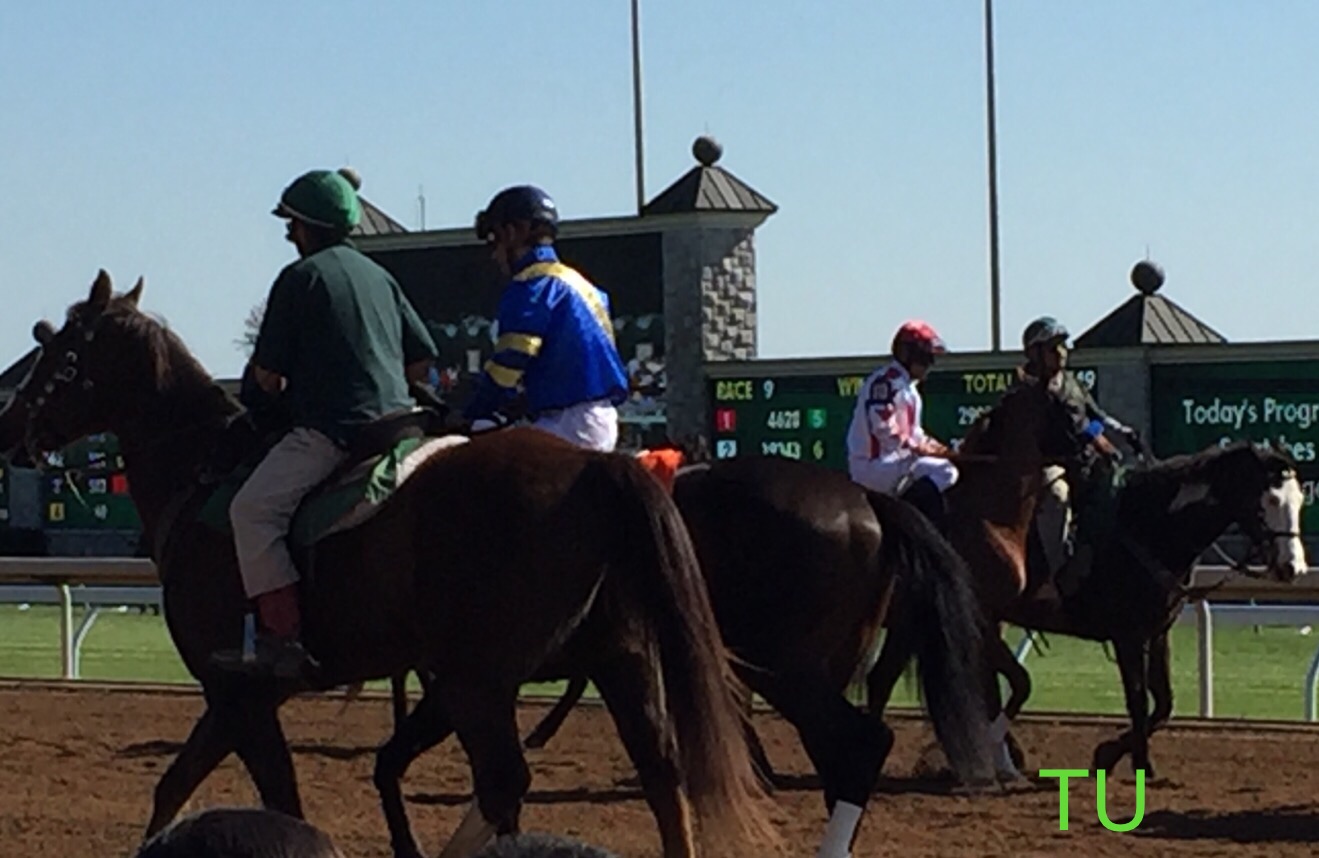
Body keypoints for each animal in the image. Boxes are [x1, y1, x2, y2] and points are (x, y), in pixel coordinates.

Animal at [0, 271, 775, 855]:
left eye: (56, 351)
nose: (8, 425)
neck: (201, 470)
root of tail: (595, 467)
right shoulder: (236, 697)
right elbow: (175, 787)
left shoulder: (240, 691)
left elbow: (271, 798)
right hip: (616, 659)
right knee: (661, 774)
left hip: (479, 679)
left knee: (505, 783)